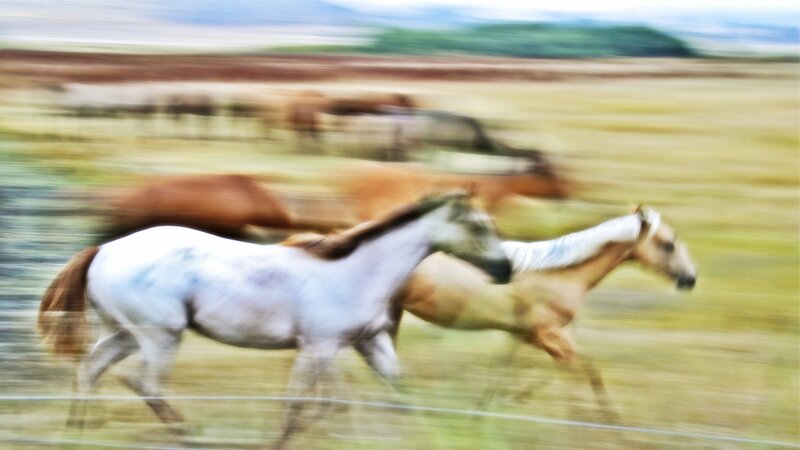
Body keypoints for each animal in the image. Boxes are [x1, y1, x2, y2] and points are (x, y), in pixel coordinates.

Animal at [38, 191, 512, 448]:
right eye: (477, 226)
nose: (505, 269)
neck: (358, 271)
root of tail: (104, 249)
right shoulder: (319, 346)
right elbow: (302, 404)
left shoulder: (363, 344)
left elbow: (392, 394)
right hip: (161, 336)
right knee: (145, 384)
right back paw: (191, 437)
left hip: (125, 334)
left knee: (89, 369)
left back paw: (74, 435)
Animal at [390, 206, 697, 421]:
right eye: (668, 244)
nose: (690, 279)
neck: (556, 274)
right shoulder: (550, 335)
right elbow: (583, 374)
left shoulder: (527, 336)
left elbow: (507, 374)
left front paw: (485, 410)